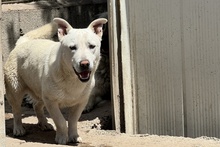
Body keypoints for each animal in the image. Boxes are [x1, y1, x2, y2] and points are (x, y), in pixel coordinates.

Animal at [4, 17, 107, 145]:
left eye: (92, 46)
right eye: (72, 47)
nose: (84, 64)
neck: (71, 79)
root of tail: (22, 43)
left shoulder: (81, 102)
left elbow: (73, 120)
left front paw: (74, 136)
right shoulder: (51, 102)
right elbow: (61, 121)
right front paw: (62, 138)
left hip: (41, 93)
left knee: (36, 106)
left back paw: (43, 123)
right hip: (15, 91)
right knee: (17, 110)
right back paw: (18, 129)